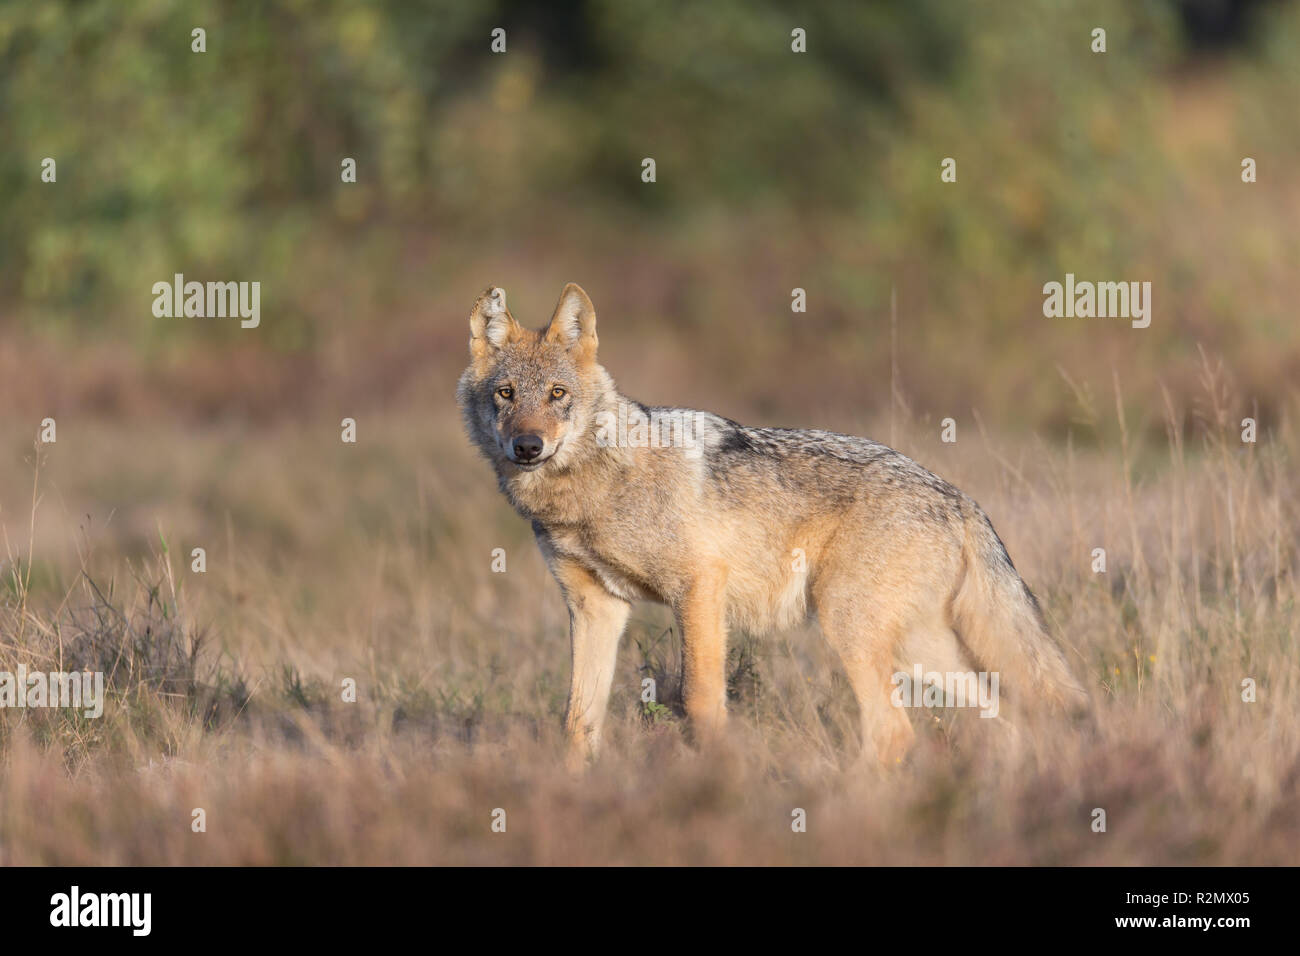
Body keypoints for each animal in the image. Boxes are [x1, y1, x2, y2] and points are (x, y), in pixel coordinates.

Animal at [457, 283, 1086, 770]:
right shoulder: (596, 608)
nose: (527, 446)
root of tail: (960, 498)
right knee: (1002, 717)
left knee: (894, 733)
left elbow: (701, 702)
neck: (587, 493)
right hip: (918, 650)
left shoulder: (698, 589)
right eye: (506, 394)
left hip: (852, 629)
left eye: (557, 394)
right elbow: (577, 720)